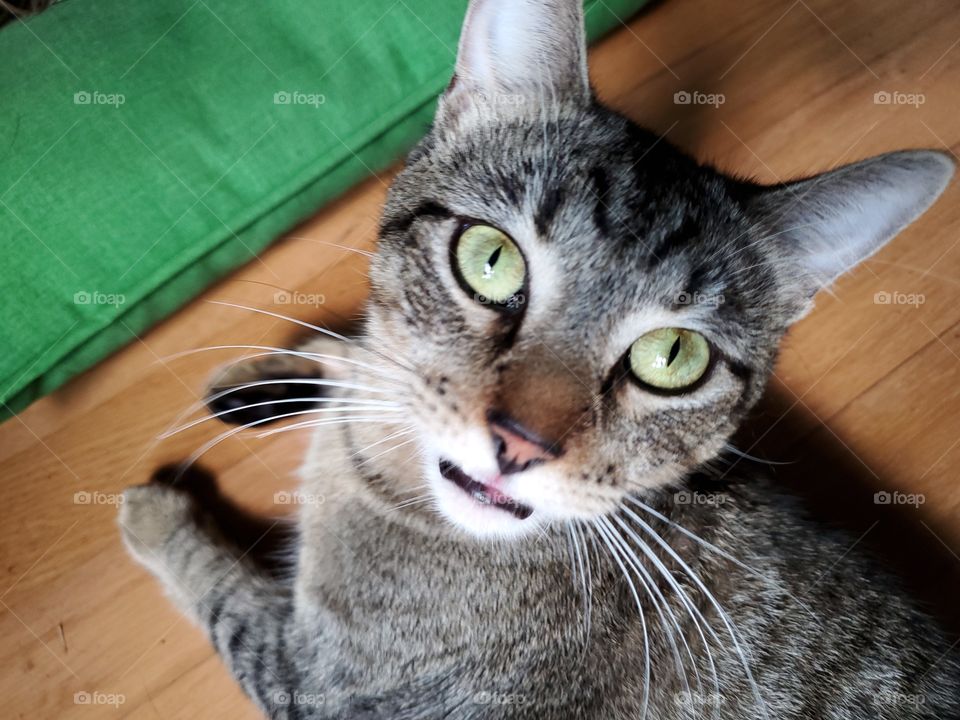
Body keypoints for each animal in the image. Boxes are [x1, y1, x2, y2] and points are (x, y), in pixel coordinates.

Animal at [120, 2, 960, 716]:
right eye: (490, 261)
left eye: (673, 356)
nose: (520, 444)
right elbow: (361, 350)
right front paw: (266, 381)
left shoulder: (316, 683)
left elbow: (228, 605)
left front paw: (158, 514)